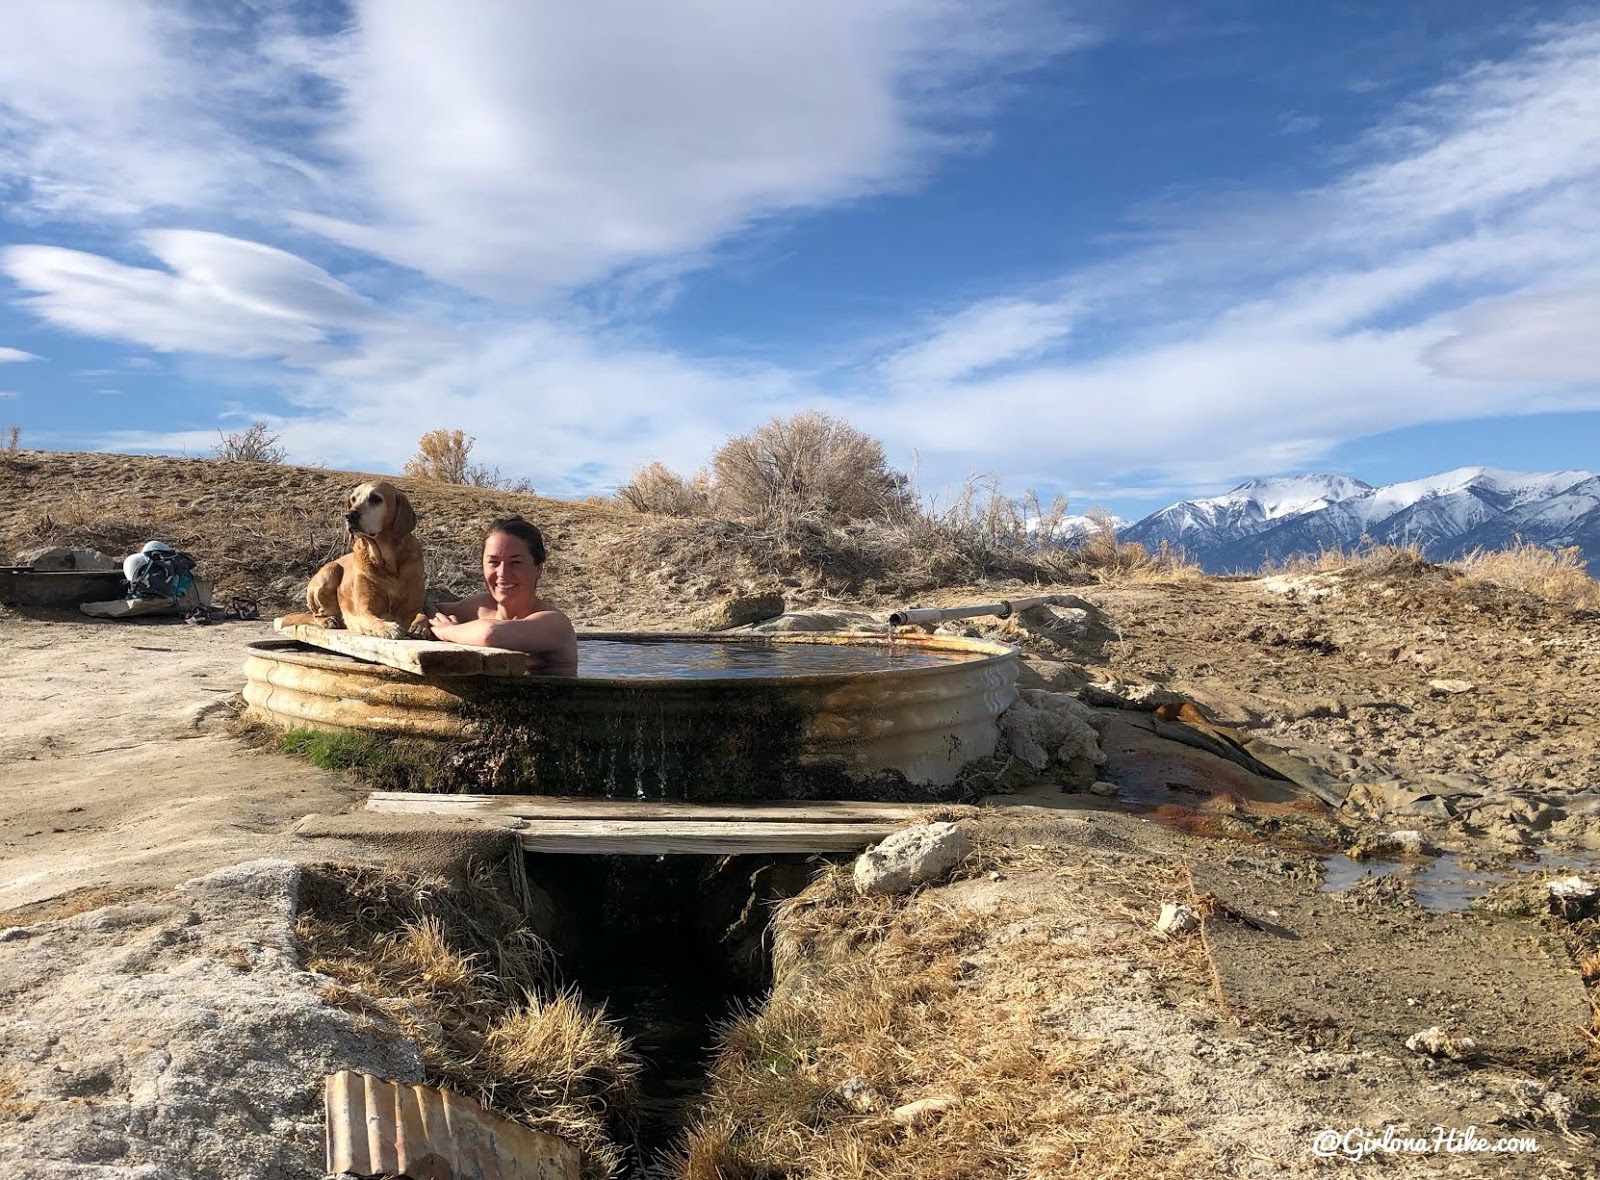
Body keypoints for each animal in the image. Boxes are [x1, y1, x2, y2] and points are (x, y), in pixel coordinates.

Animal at [283, 479, 428, 639]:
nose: (349, 515)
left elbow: (423, 615)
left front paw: (419, 626)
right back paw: (328, 620)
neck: (386, 563)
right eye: (353, 499)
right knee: (316, 615)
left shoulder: (412, 607)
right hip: (331, 570)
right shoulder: (364, 610)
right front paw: (389, 627)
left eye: (375, 498)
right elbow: (374, 620)